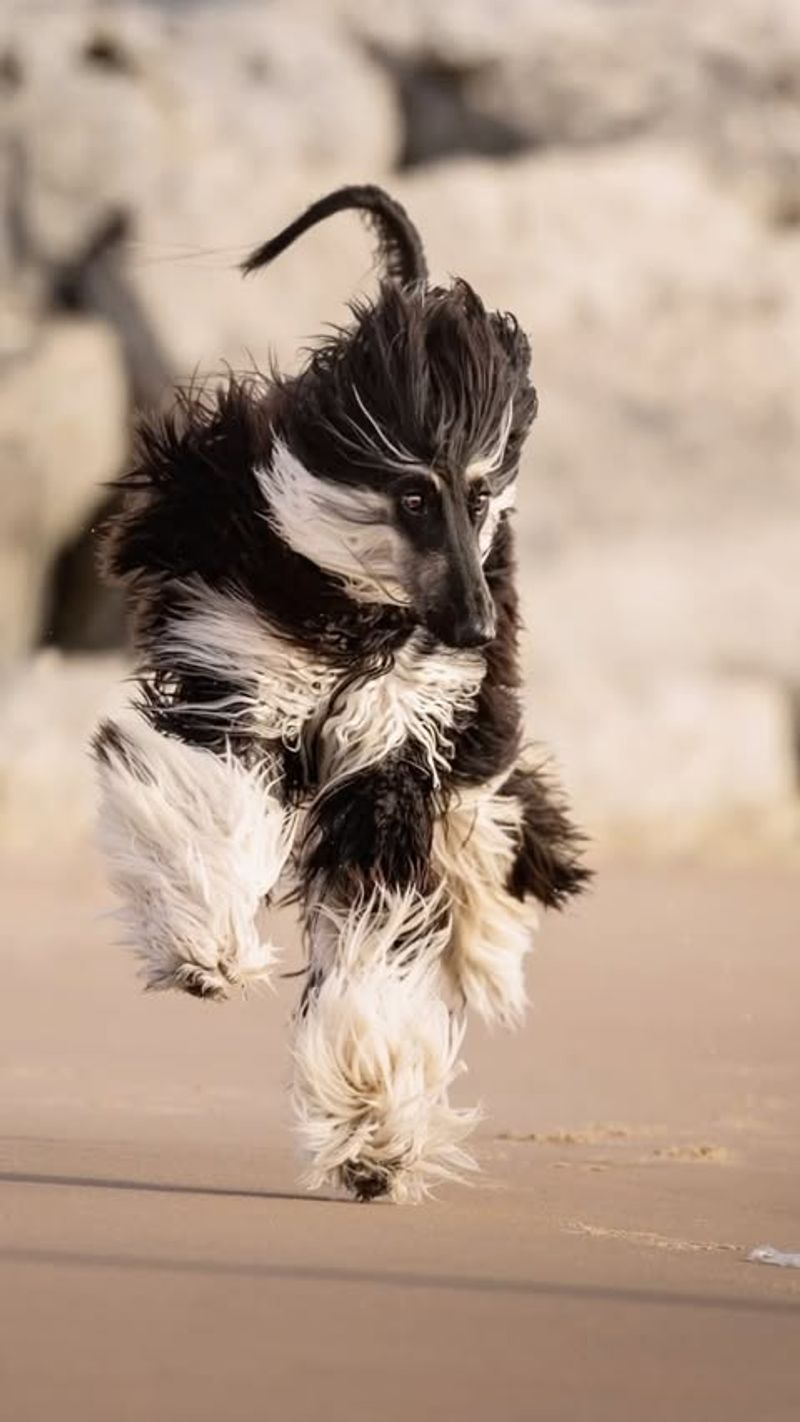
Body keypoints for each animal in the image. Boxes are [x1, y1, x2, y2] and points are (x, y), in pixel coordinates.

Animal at [95, 180, 593, 1200]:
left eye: (477, 496)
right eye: (413, 495)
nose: (474, 628)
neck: (356, 619)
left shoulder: (396, 758)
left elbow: (377, 925)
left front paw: (373, 1119)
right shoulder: (235, 688)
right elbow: (213, 810)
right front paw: (207, 945)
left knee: (487, 813)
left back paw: (485, 931)